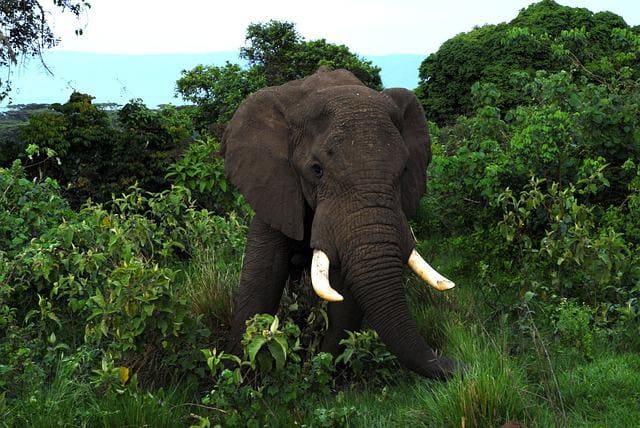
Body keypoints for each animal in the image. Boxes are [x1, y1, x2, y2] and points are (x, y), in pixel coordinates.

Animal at [222, 67, 461, 380]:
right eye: (317, 170)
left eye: (405, 169)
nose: (460, 365)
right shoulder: (273, 186)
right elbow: (263, 277)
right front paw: (237, 371)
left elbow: (345, 294)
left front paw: (321, 367)